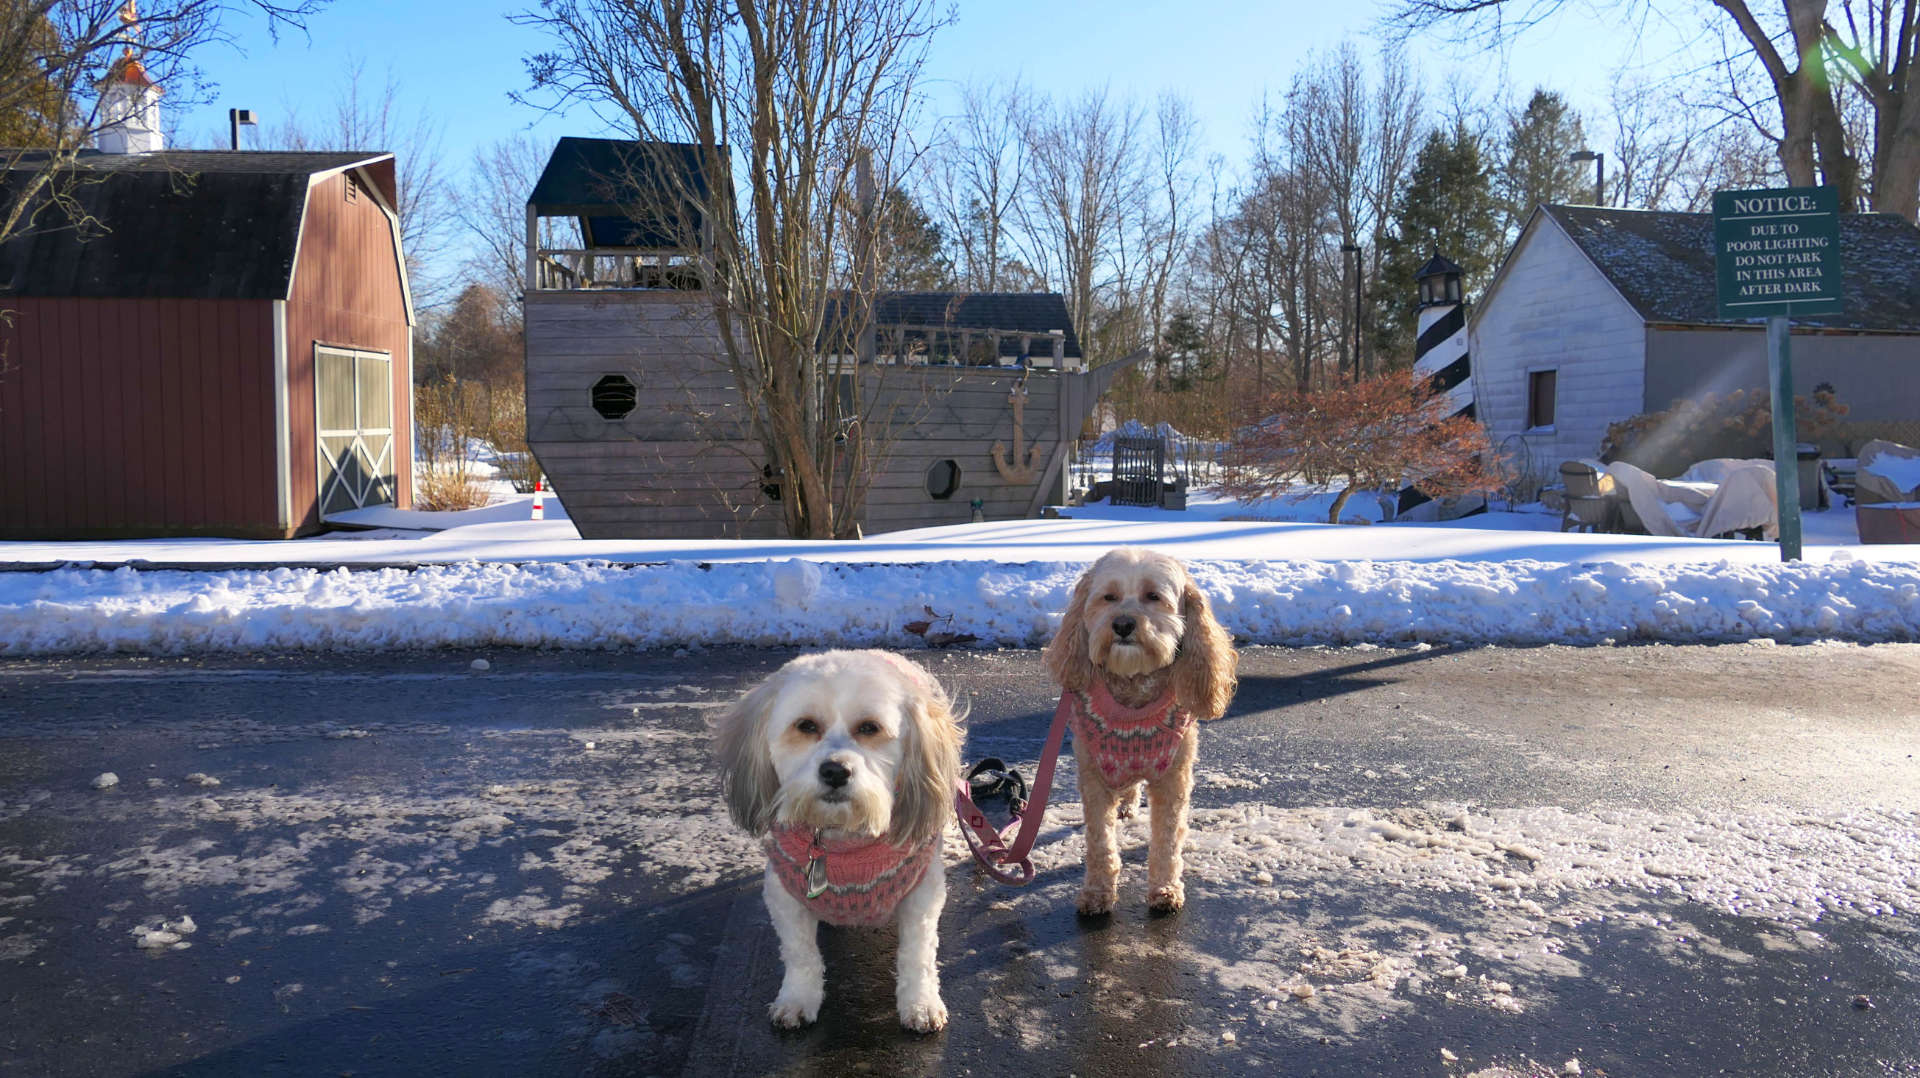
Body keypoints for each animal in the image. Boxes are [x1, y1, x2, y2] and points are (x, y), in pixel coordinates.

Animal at [718, 645, 967, 1037]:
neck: (841, 836)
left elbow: (918, 954)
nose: (835, 771)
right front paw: (798, 998)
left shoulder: (923, 891)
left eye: (869, 728)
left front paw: (920, 1003)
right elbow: (800, 953)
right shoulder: (784, 893)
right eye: (806, 726)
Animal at [1044, 549, 1236, 910]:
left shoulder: (1174, 776)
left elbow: (1167, 838)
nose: (1122, 624)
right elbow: (1099, 840)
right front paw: (1097, 892)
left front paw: (1165, 888)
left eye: (1153, 596)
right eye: (1109, 597)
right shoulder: (1092, 774)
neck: (1133, 685)